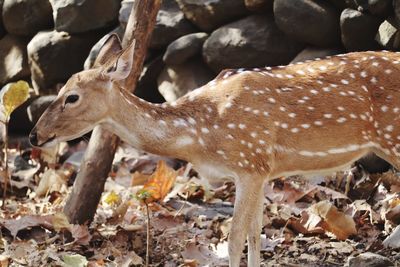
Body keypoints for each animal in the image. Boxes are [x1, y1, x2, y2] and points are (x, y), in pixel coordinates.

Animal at [29, 34, 400, 267]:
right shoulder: (262, 170)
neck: (198, 135)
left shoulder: (249, 161)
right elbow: (255, 234)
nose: (34, 135)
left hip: (392, 136)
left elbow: (234, 239)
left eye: (71, 97)